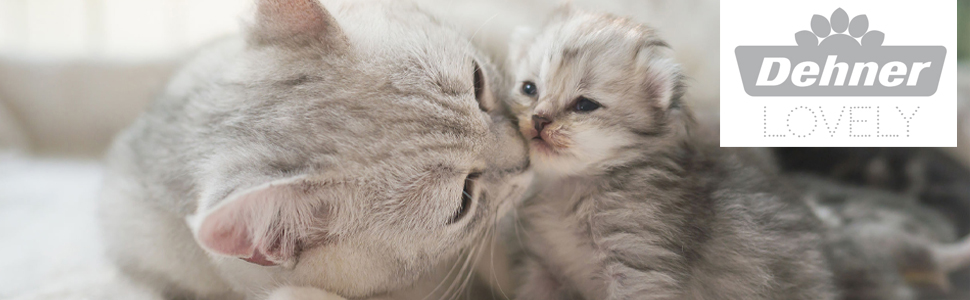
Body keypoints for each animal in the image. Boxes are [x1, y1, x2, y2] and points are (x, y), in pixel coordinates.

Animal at [506, 6, 832, 300]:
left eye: (585, 105)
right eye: (529, 89)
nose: (539, 120)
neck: (571, 188)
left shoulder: (640, 267)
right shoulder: (544, 268)